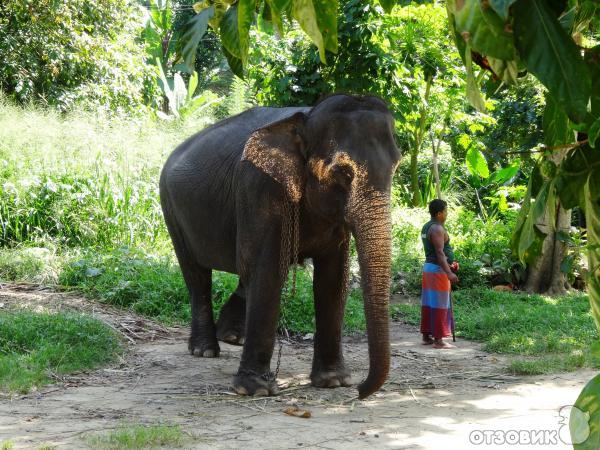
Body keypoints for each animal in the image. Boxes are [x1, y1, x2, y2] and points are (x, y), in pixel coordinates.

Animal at [162, 94, 400, 398]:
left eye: (396, 166)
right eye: (342, 172)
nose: (359, 390)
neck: (306, 118)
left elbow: (332, 280)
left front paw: (333, 382)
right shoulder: (259, 187)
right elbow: (268, 272)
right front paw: (255, 390)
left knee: (242, 272)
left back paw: (233, 337)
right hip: (171, 209)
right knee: (196, 274)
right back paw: (204, 350)